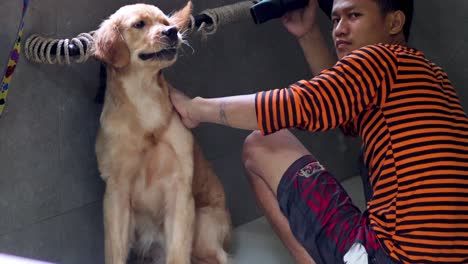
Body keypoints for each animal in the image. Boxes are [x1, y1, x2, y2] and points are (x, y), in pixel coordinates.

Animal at [91, 1, 230, 262]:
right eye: (139, 24)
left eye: (165, 23)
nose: (172, 32)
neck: (144, 98)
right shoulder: (116, 192)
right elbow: (114, 251)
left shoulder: (180, 189)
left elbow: (177, 252)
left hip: (204, 229)